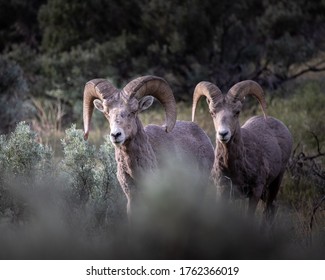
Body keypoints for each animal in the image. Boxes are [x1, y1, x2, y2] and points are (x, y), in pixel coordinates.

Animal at [191, 80, 292, 222]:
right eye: (212, 112)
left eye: (237, 112)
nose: (223, 134)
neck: (234, 169)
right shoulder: (222, 191)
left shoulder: (255, 192)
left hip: (276, 182)